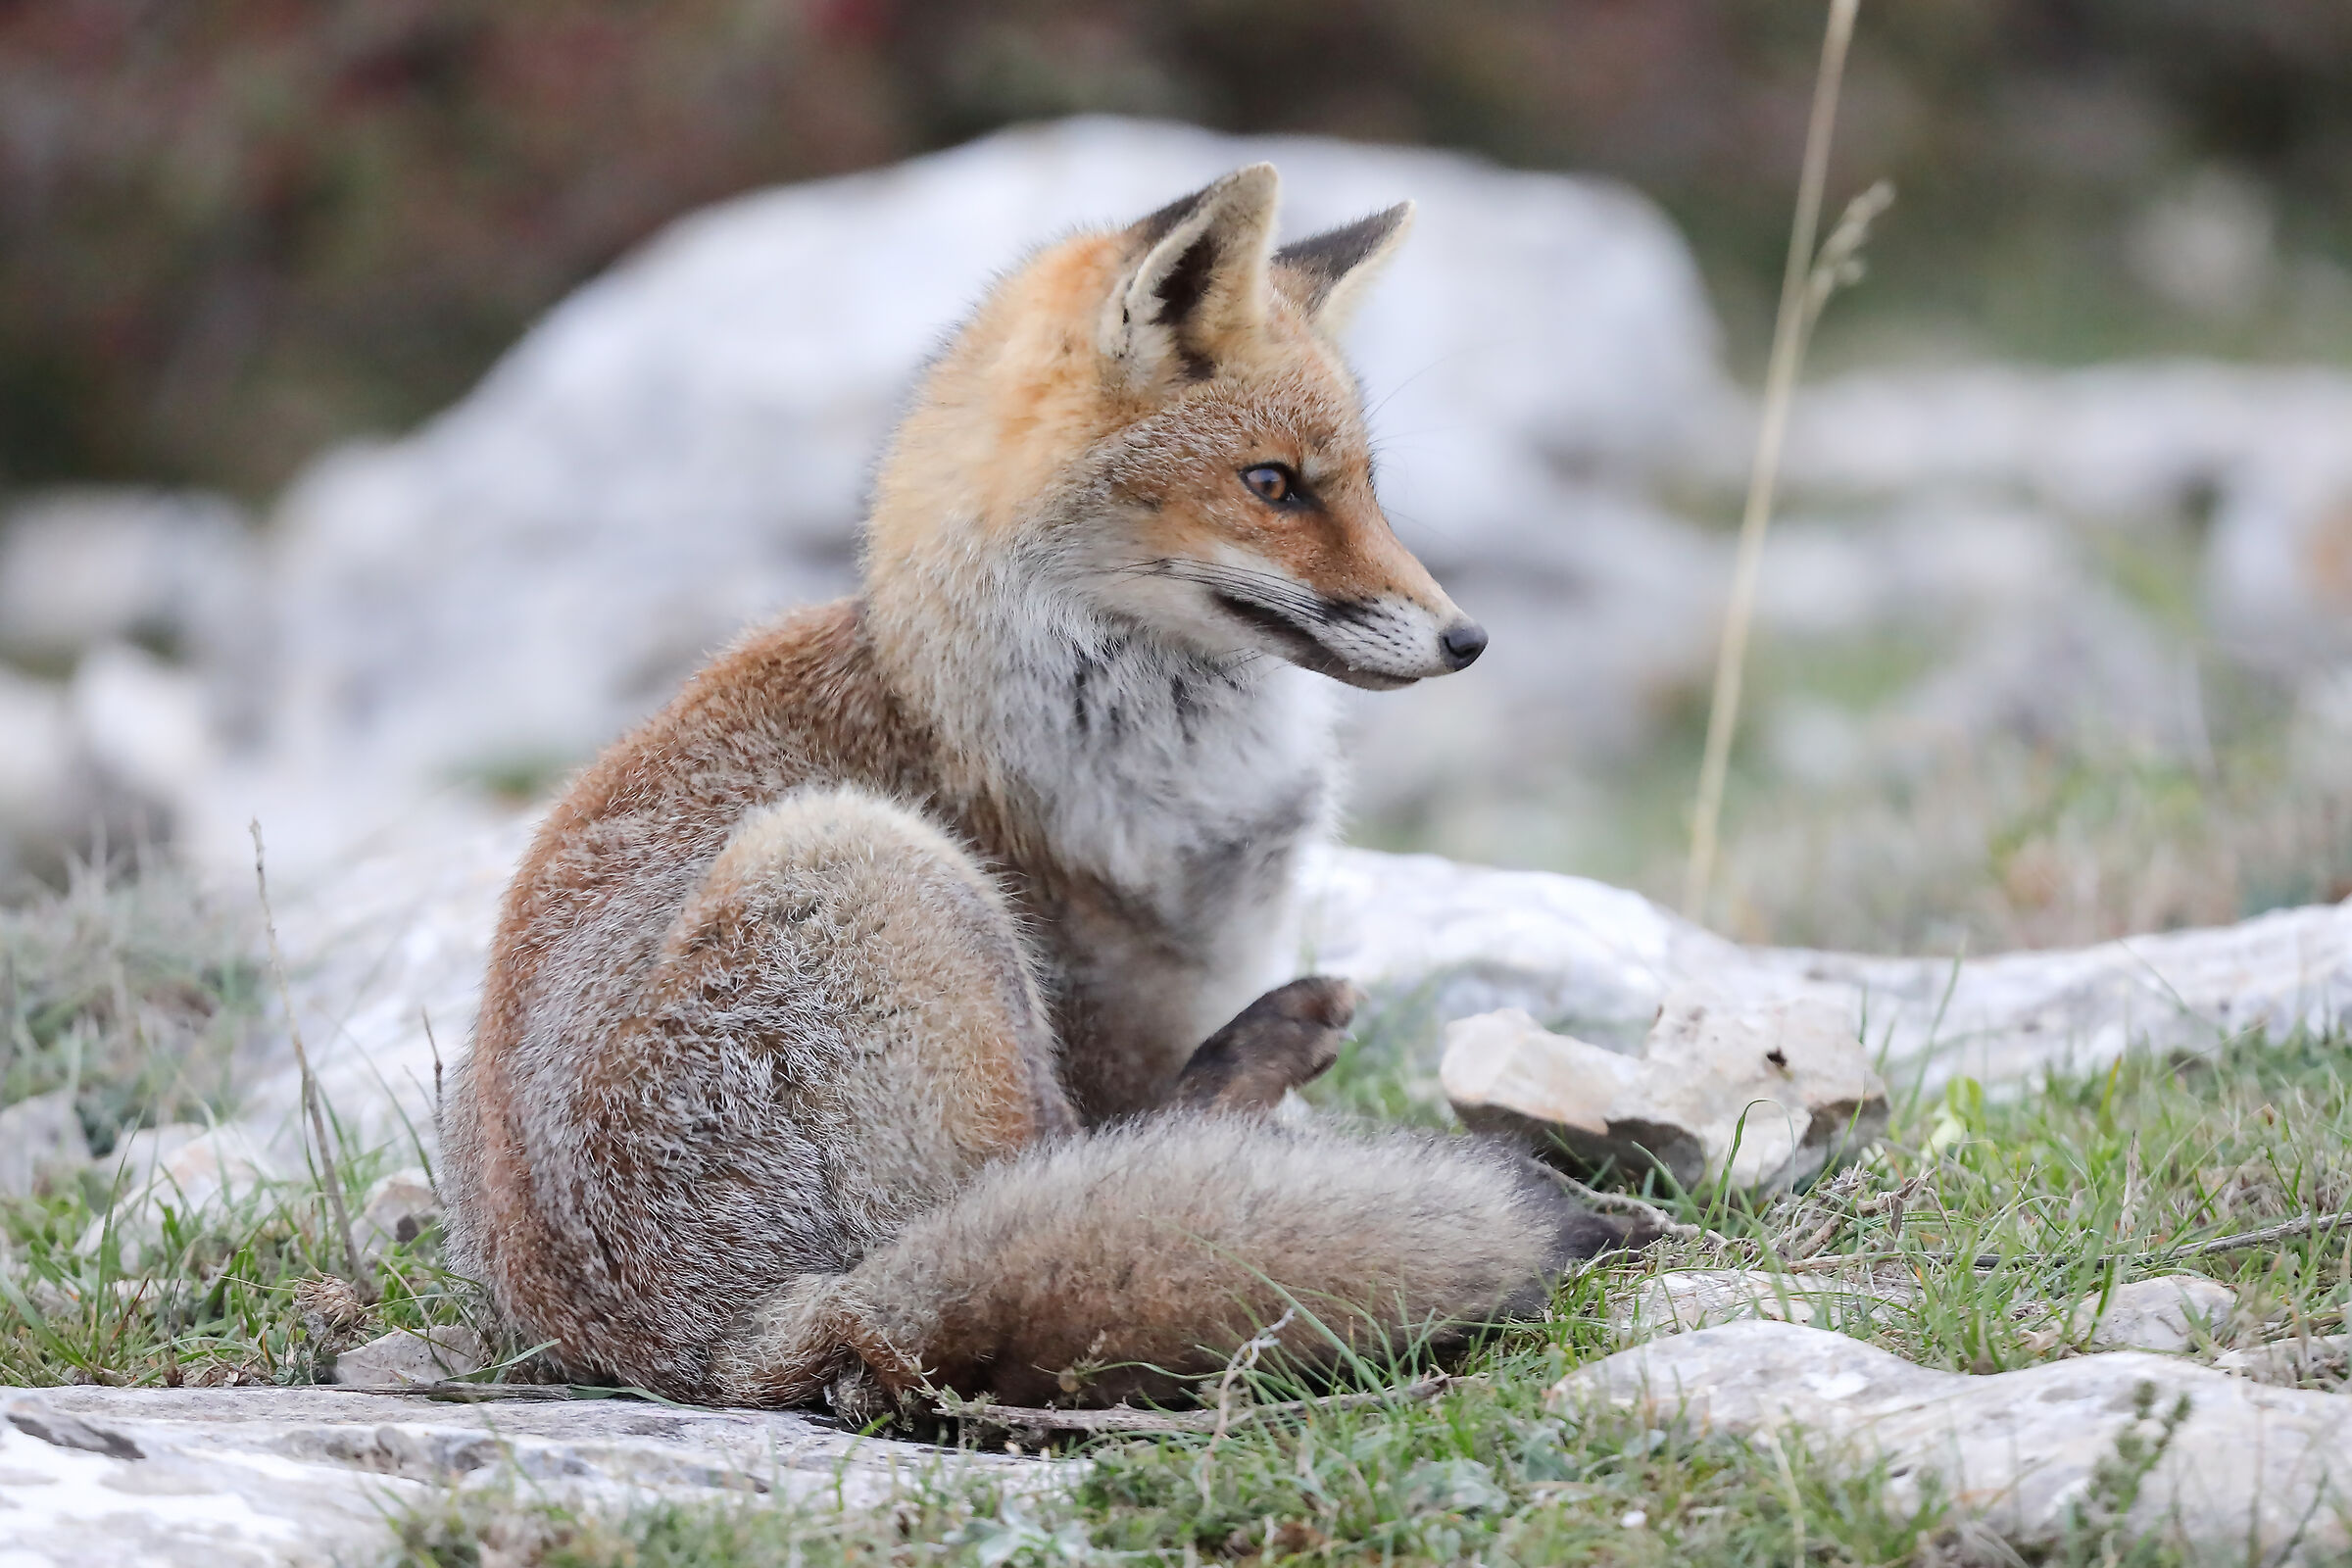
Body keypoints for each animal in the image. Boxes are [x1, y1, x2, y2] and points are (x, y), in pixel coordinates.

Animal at [438, 163, 1639, 1415]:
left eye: (1368, 486)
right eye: (1272, 484)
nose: (1468, 639)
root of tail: (718, 1351)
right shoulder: (1122, 1017)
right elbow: (1140, 1139)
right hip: (869, 864)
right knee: (1044, 1194)